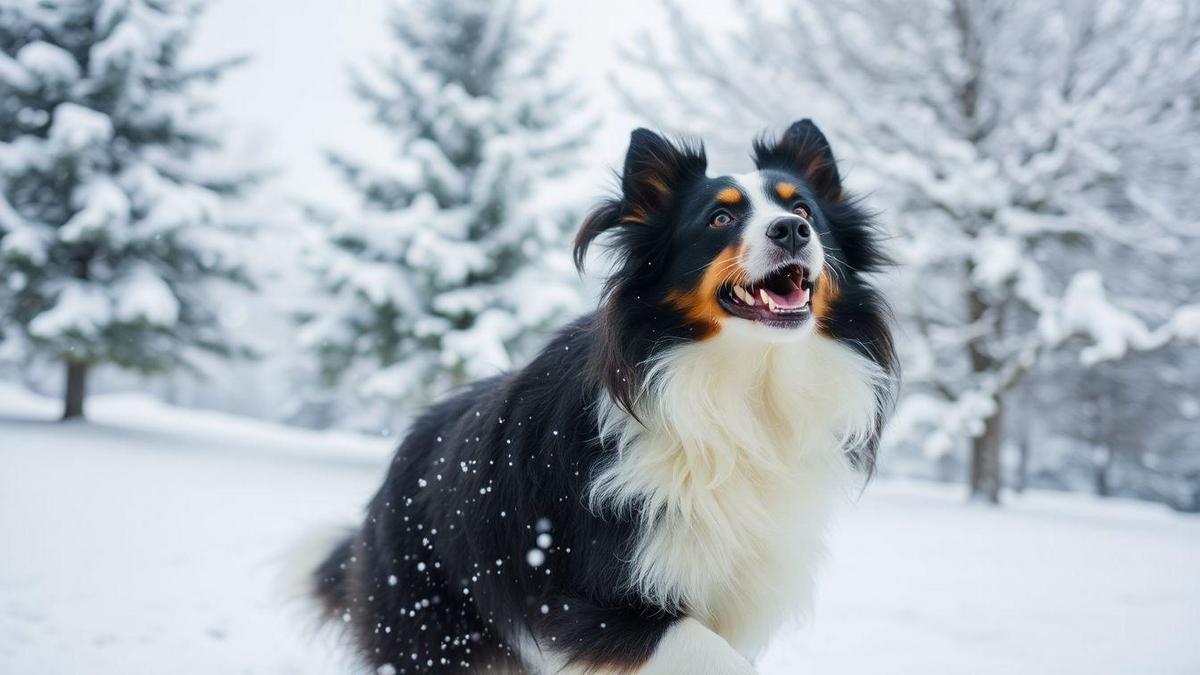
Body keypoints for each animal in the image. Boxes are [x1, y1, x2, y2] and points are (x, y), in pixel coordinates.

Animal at [304, 121, 897, 672]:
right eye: (720, 219)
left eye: (804, 208)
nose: (792, 230)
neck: (743, 381)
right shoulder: (593, 594)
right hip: (430, 622)